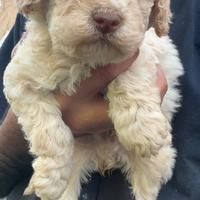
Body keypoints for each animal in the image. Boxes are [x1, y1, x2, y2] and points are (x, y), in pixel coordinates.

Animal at [3, 0, 184, 200]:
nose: (107, 20)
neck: (88, 59)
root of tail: (106, 156)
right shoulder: (20, 79)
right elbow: (48, 130)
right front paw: (51, 177)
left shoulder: (142, 51)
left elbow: (131, 72)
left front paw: (142, 130)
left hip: (154, 166)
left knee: (148, 185)